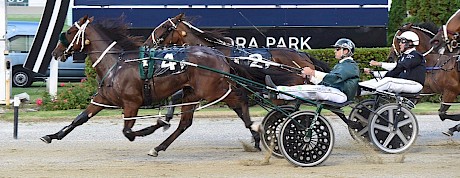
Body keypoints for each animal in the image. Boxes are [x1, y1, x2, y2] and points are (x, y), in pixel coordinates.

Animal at [41, 16, 260, 156]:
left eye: (70, 32)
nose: (54, 52)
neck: (115, 64)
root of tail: (220, 55)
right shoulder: (102, 99)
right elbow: (79, 119)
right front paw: (51, 136)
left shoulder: (132, 103)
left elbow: (128, 132)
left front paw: (156, 124)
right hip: (193, 93)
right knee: (185, 123)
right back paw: (158, 148)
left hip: (213, 90)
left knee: (241, 99)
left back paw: (256, 131)